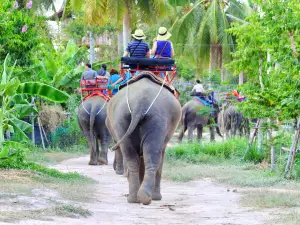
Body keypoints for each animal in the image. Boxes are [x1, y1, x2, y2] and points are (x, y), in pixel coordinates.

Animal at [105, 76, 180, 205]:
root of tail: (139, 105)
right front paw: (156, 197)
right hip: (157, 119)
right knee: (152, 154)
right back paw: (147, 198)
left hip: (122, 118)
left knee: (131, 156)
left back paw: (135, 198)